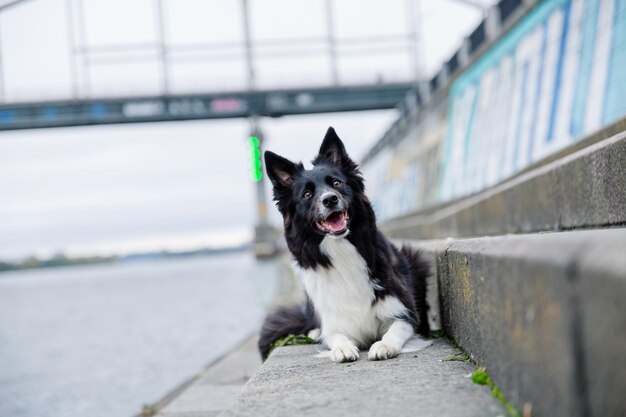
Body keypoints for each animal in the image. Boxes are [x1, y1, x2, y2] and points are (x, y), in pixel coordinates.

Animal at [256, 126, 426, 360]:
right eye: (306, 194)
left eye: (336, 183)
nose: (330, 199)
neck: (340, 249)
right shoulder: (334, 322)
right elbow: (335, 336)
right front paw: (342, 348)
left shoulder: (405, 312)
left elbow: (396, 328)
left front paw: (384, 345)